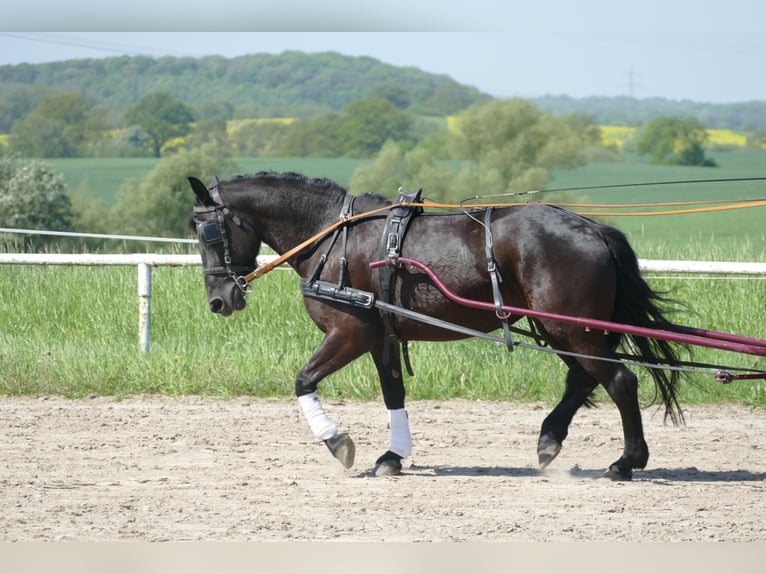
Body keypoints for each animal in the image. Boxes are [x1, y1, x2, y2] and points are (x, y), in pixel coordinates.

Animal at [189, 171, 688, 482]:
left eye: (207, 232)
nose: (219, 300)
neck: (334, 235)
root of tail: (593, 228)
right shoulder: (382, 337)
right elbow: (393, 394)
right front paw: (393, 456)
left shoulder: (350, 333)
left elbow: (302, 381)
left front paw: (339, 443)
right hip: (561, 329)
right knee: (584, 378)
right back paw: (550, 440)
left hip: (572, 329)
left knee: (618, 380)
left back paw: (626, 462)